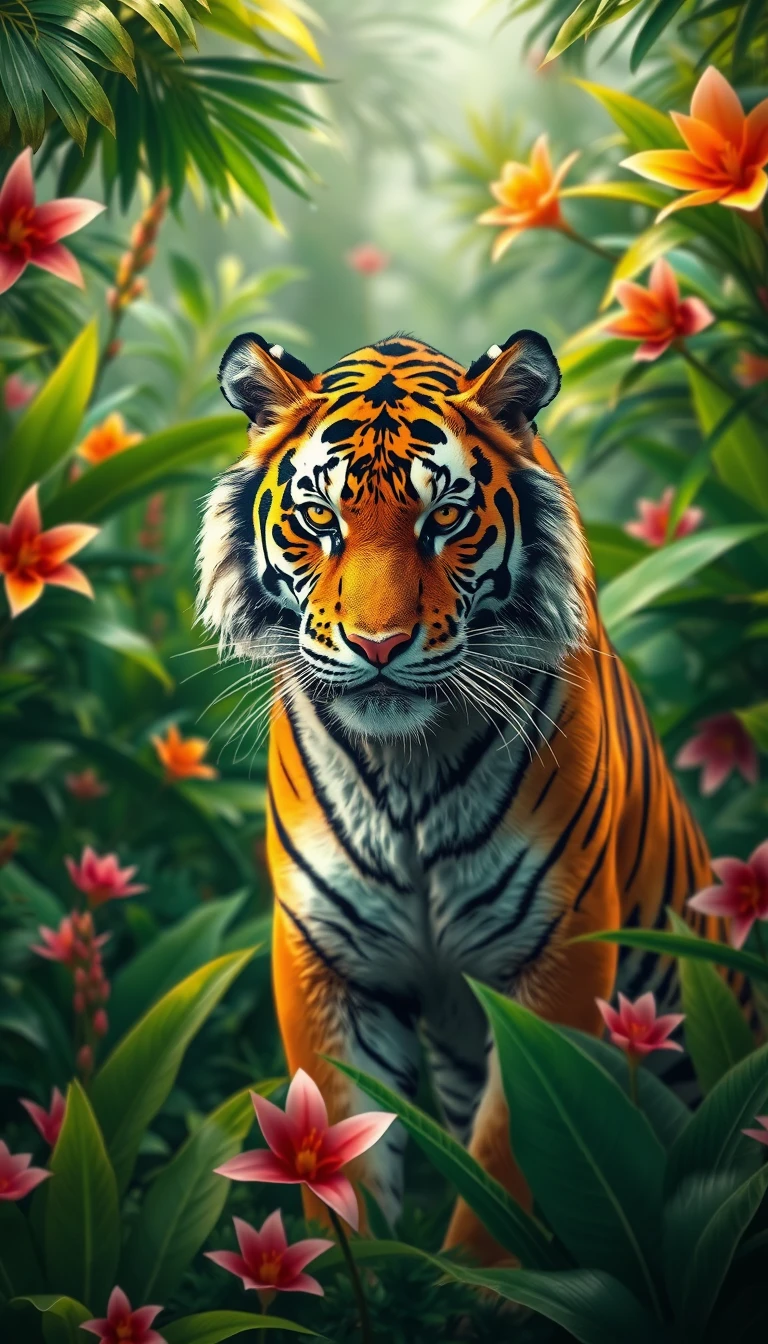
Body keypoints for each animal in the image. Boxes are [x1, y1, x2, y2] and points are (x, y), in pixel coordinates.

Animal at [197, 328, 719, 1262]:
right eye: (320, 518)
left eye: (444, 518)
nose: (377, 645)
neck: (406, 768)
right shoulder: (327, 958)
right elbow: (337, 1157)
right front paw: (352, 1274)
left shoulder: (561, 951)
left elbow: (508, 1171)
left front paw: (478, 1279)